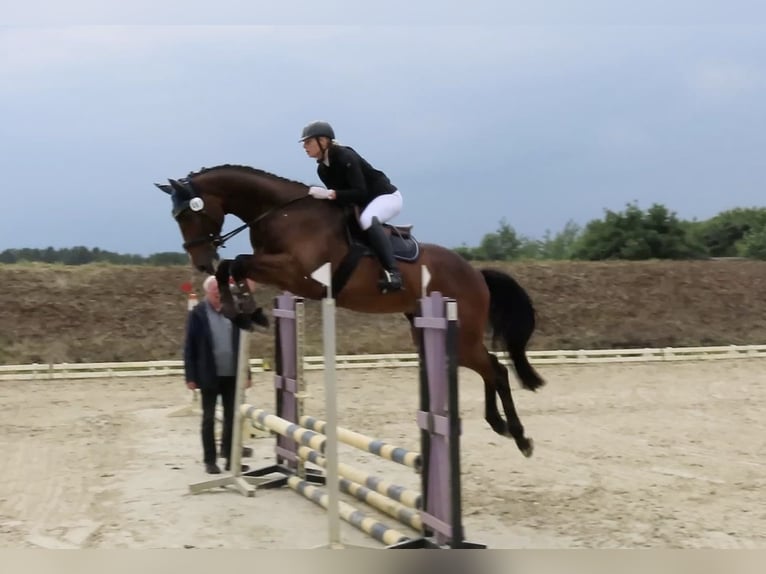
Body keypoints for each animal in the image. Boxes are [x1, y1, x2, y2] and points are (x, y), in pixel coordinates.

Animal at [158, 163, 544, 460]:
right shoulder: (277, 270)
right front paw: (246, 312)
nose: (201, 262)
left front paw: (244, 312)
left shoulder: (298, 275)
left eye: (191, 213)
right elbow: (234, 267)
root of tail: (475, 273)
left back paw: (520, 436)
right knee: (489, 368)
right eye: (176, 217)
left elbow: (236, 263)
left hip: (462, 333)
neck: (281, 213)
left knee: (496, 369)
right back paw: (500, 425)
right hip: (437, 333)